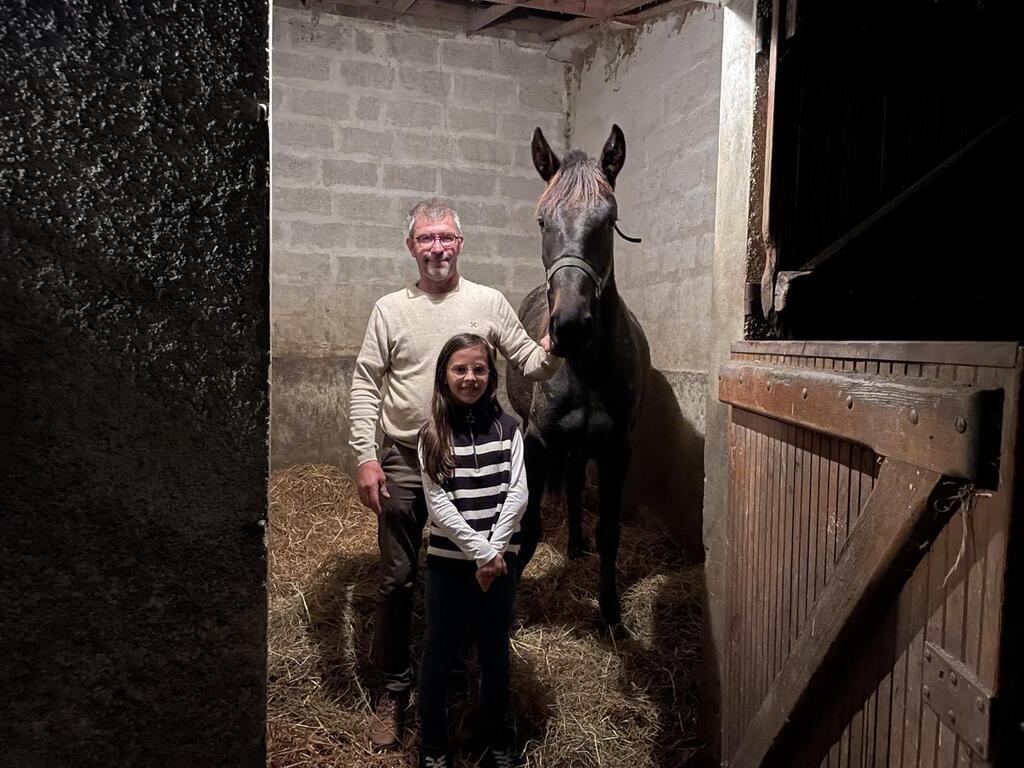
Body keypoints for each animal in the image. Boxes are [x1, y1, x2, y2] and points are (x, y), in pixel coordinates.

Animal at [507, 126, 651, 626]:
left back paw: (574, 545)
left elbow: (609, 532)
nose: (569, 326)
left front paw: (609, 611)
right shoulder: (538, 441)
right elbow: (528, 529)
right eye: (542, 221)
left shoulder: (616, 449)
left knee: (571, 483)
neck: (586, 370)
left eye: (608, 221)